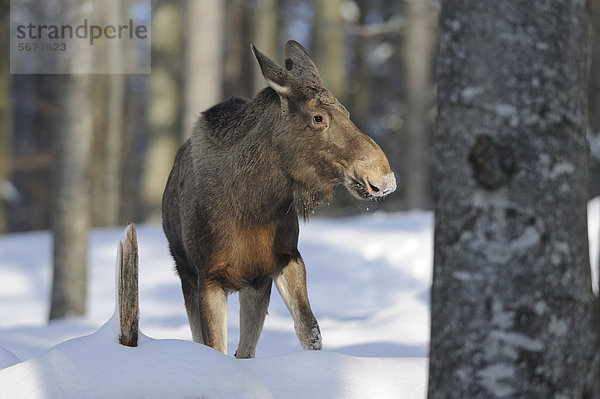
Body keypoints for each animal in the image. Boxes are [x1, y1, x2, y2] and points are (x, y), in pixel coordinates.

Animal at [162, 40, 396, 360]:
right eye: (318, 117)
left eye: (347, 113)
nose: (384, 177)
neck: (253, 206)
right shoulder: (208, 275)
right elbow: (215, 346)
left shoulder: (284, 259)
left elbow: (310, 329)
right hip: (186, 272)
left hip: (255, 285)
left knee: (245, 350)